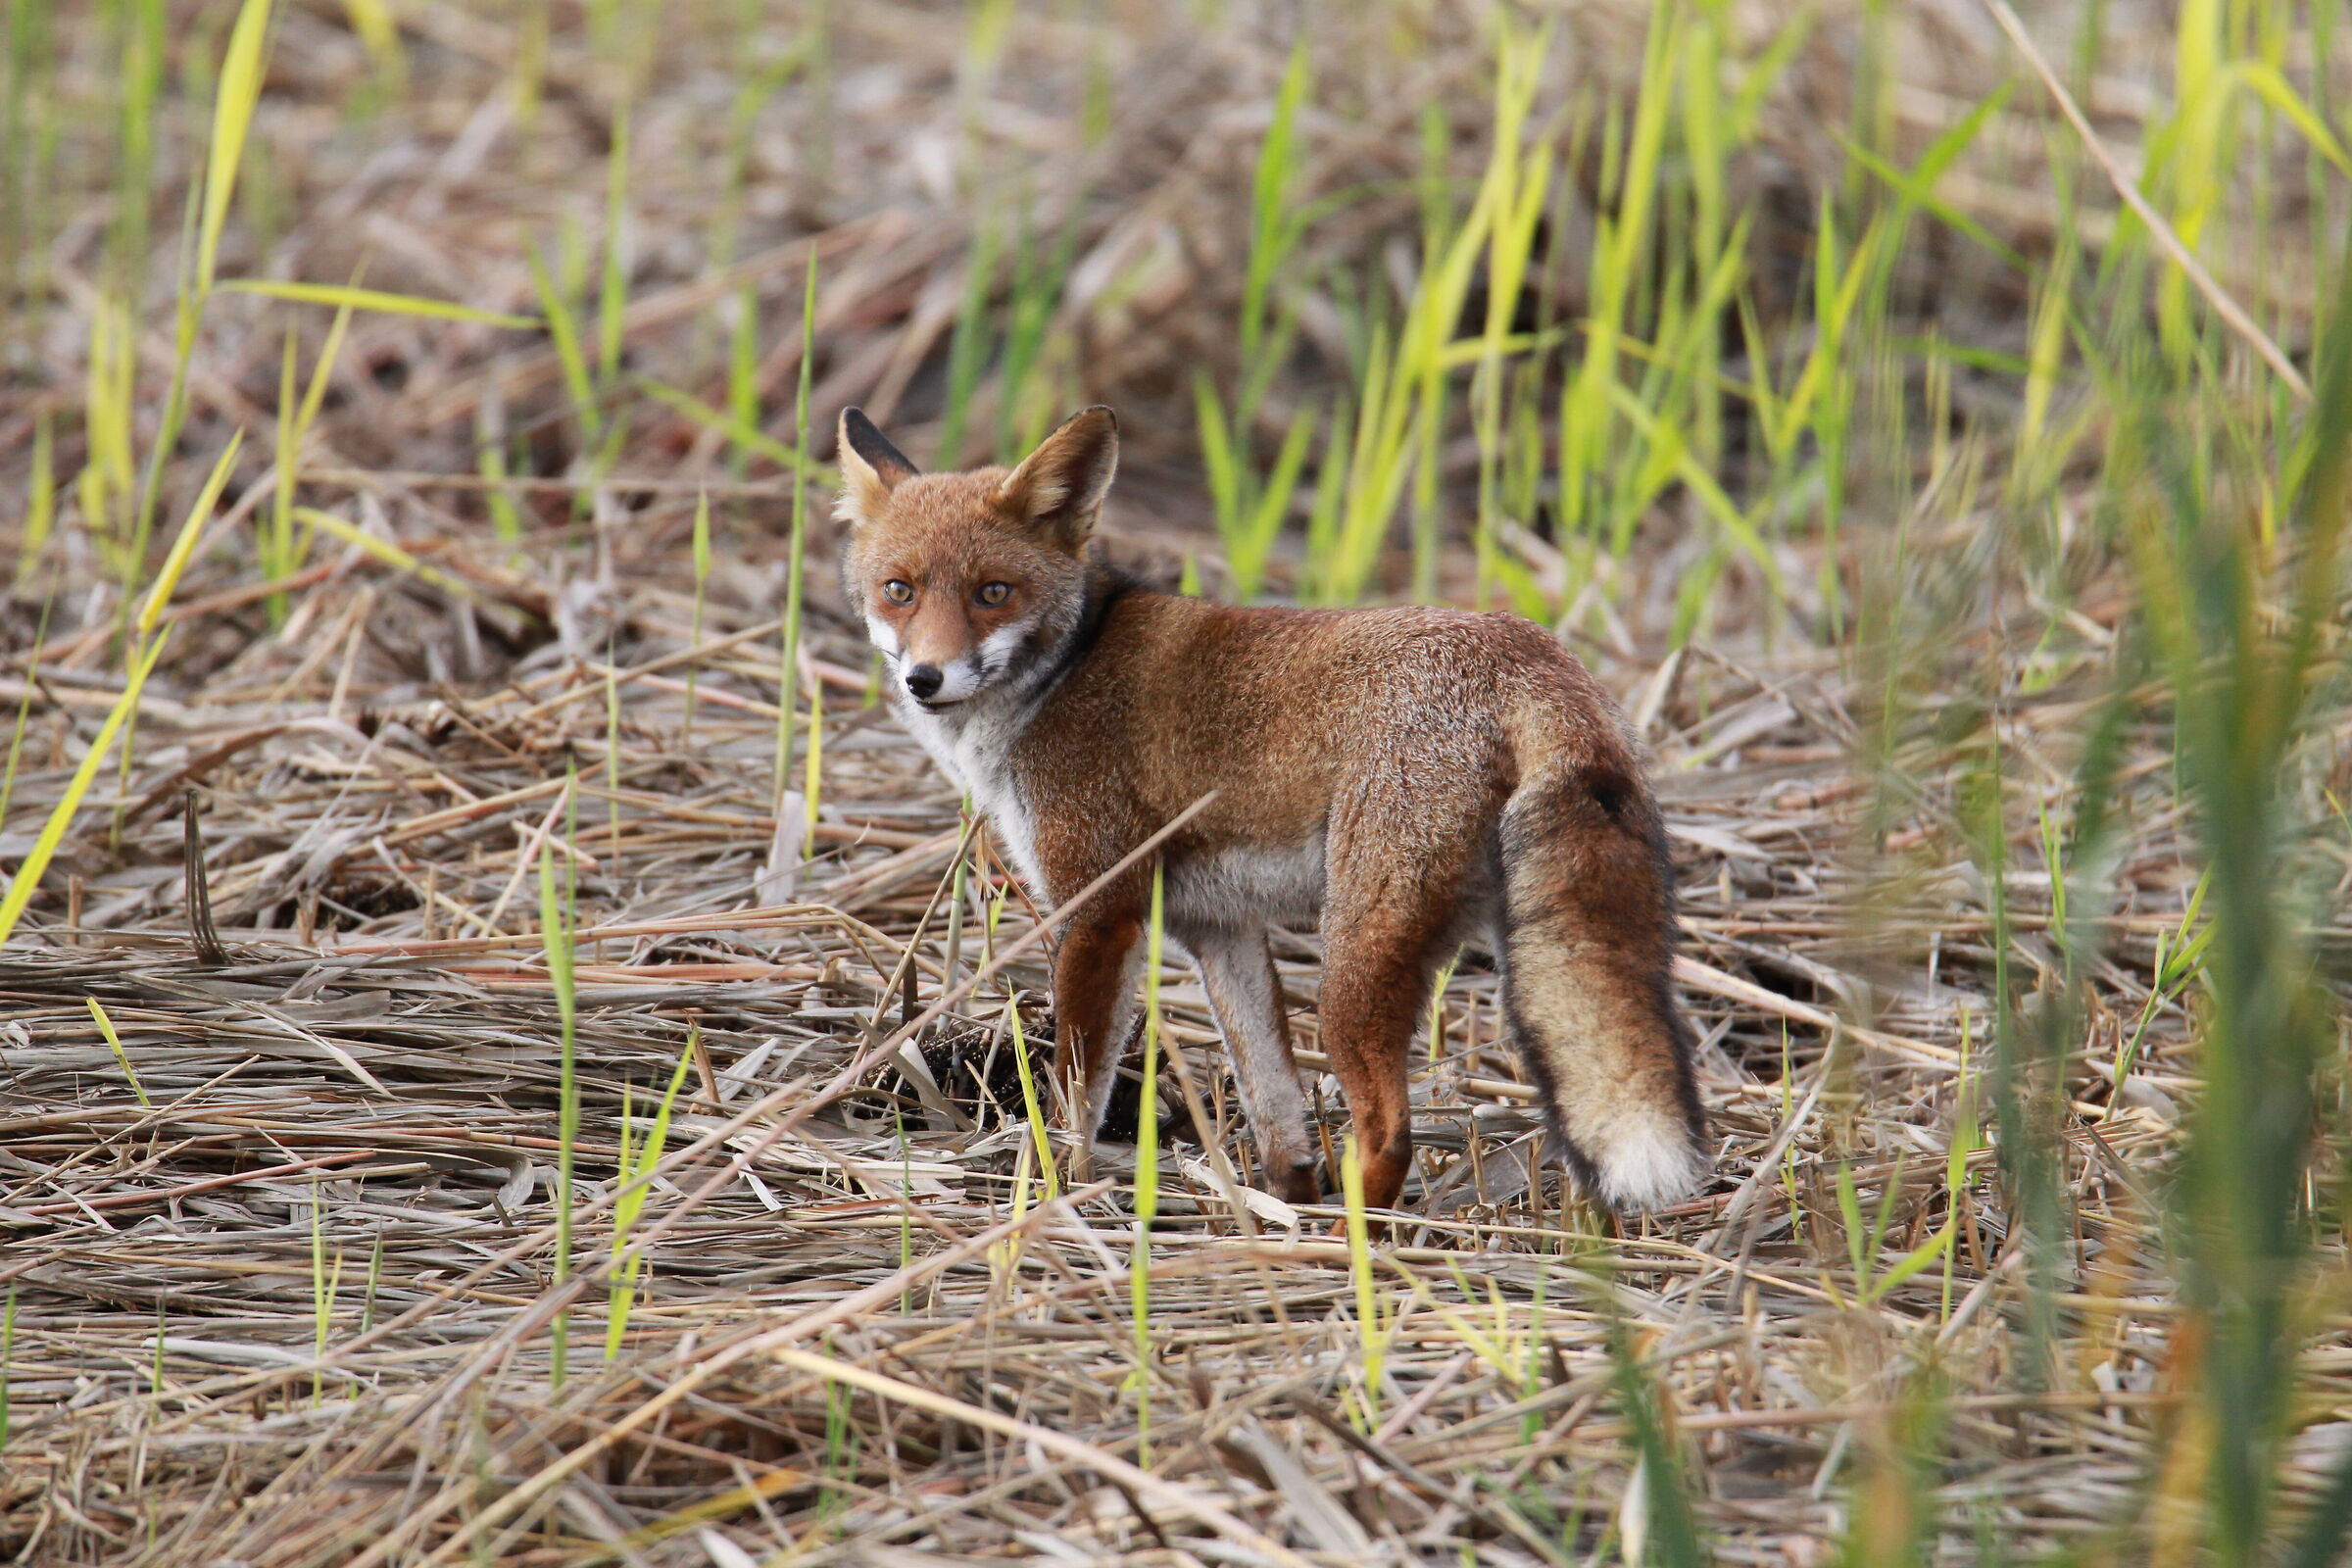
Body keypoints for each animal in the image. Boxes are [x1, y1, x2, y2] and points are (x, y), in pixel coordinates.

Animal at [833, 403, 1708, 1213]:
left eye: (993, 593)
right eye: (899, 591)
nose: (925, 679)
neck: (1065, 673)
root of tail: (1534, 650)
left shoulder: (1100, 910)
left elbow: (1075, 1094)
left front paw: (1051, 1189)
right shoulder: (1217, 928)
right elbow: (1272, 1098)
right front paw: (1283, 1194)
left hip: (1352, 966)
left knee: (1389, 1134)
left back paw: (1349, 1237)